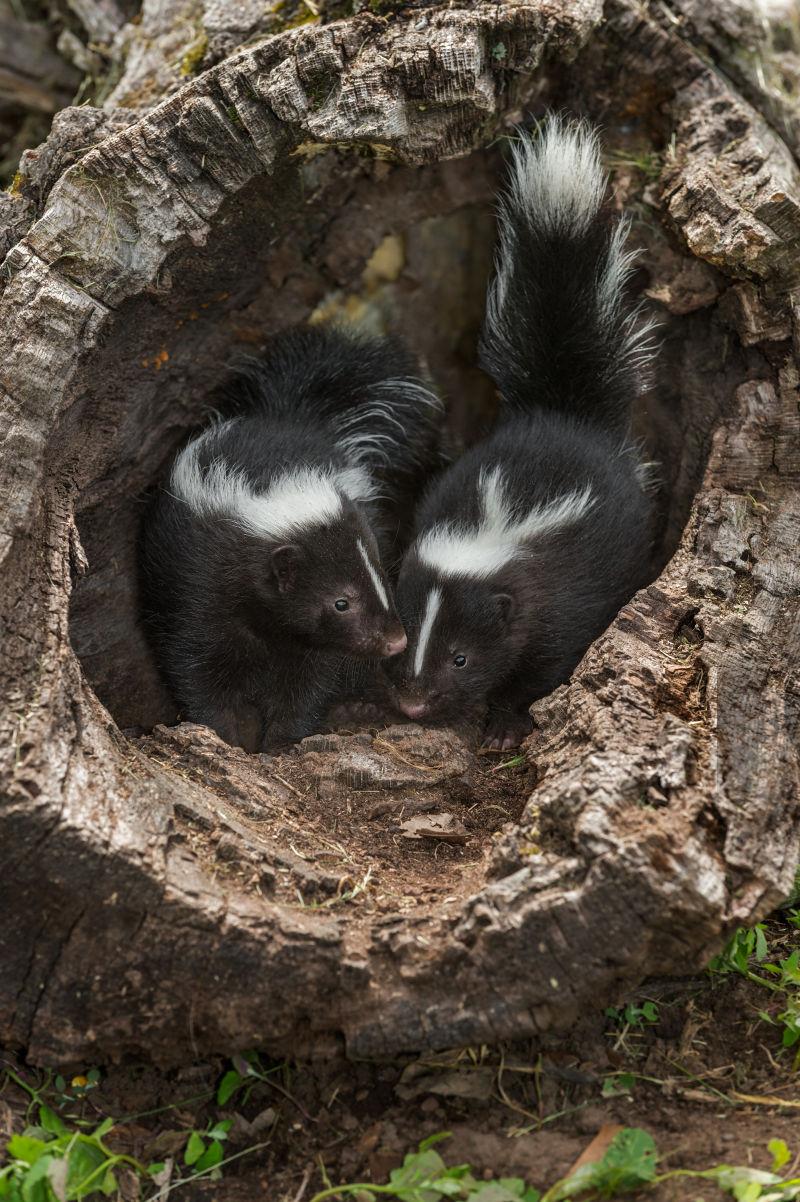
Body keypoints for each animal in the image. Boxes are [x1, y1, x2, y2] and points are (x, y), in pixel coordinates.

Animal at [141, 319, 442, 750]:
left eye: (383, 578)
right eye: (340, 602)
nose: (396, 640)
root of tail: (296, 416)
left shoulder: (312, 643)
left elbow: (307, 683)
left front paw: (281, 742)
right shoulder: (198, 592)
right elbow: (197, 668)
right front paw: (227, 735)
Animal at [386, 114, 653, 750]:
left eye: (461, 657)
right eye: (405, 634)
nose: (413, 703)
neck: (494, 531)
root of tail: (560, 411)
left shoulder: (565, 600)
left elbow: (545, 664)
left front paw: (505, 725)